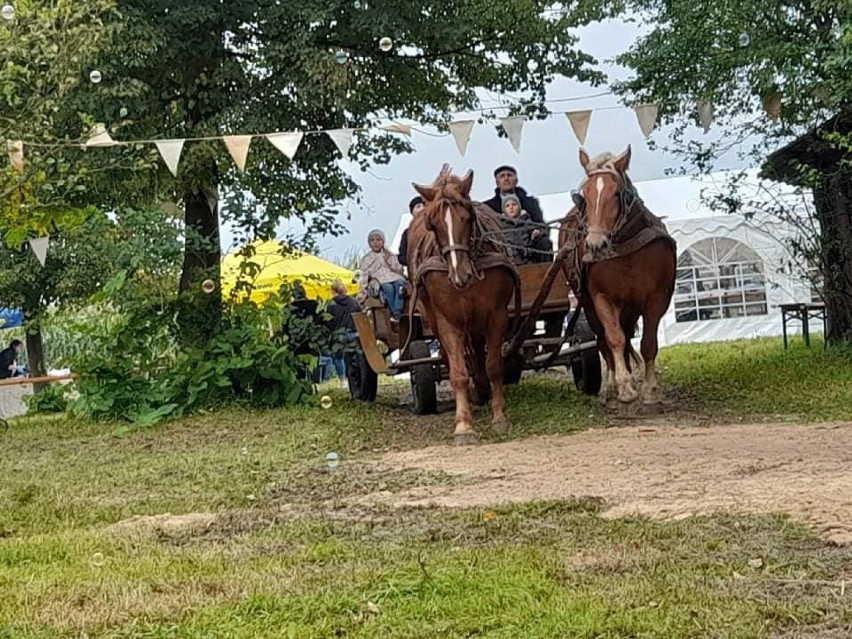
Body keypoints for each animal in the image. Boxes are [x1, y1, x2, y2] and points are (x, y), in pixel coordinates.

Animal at [408, 166, 520, 444]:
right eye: (433, 224)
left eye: (467, 218)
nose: (460, 275)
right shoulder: (447, 319)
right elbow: (458, 372)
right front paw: (463, 425)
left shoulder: (496, 315)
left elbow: (494, 366)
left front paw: (499, 416)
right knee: (449, 358)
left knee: (479, 352)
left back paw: (481, 388)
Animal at [556, 146, 676, 404]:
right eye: (586, 194)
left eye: (615, 193)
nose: (595, 244)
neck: (625, 250)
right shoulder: (602, 298)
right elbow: (613, 339)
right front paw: (624, 386)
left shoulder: (657, 298)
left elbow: (648, 343)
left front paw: (649, 388)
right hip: (587, 304)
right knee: (603, 339)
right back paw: (612, 383)